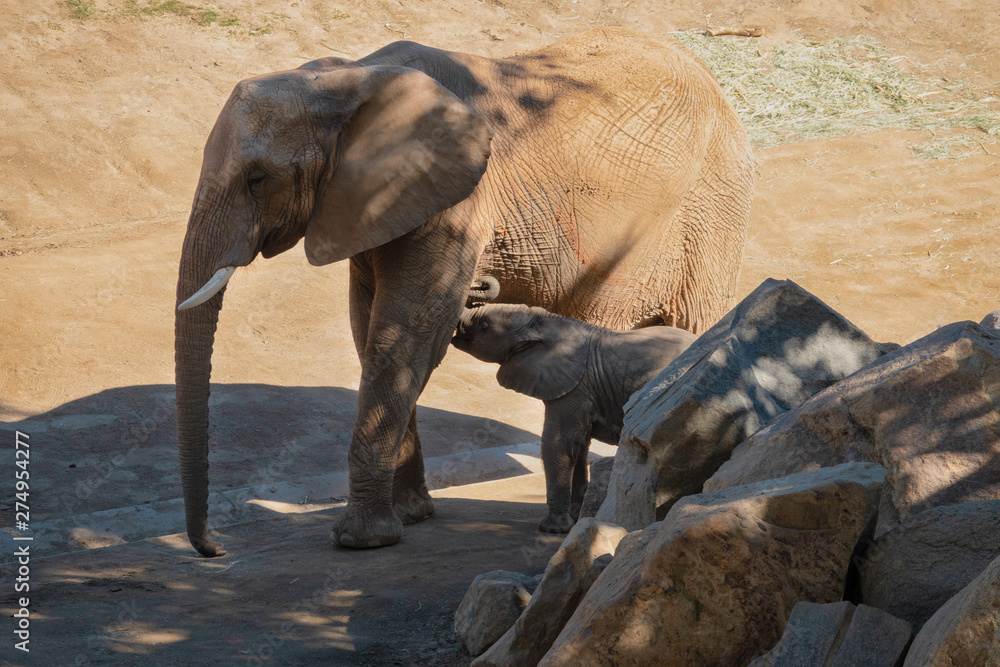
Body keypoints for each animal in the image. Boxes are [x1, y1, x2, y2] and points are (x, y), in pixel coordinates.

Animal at [454, 306, 696, 532]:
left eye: (484, 325)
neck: (546, 320)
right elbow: (578, 446)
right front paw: (576, 517)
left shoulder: (575, 386)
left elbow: (559, 443)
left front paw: (553, 528)